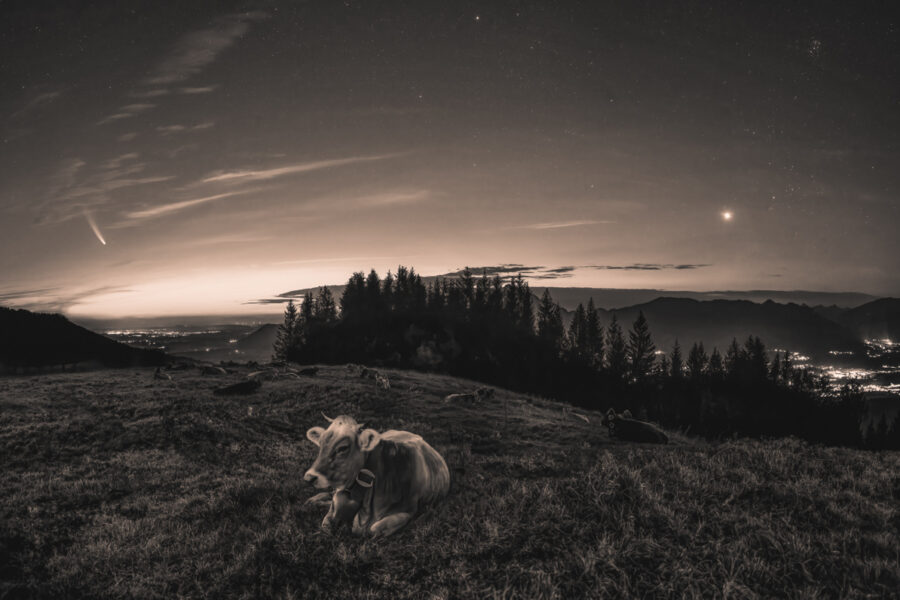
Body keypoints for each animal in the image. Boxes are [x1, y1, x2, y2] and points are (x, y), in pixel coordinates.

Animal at [304, 414, 448, 536]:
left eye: (343, 448)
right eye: (320, 443)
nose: (309, 477)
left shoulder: (409, 512)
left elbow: (375, 529)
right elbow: (326, 524)